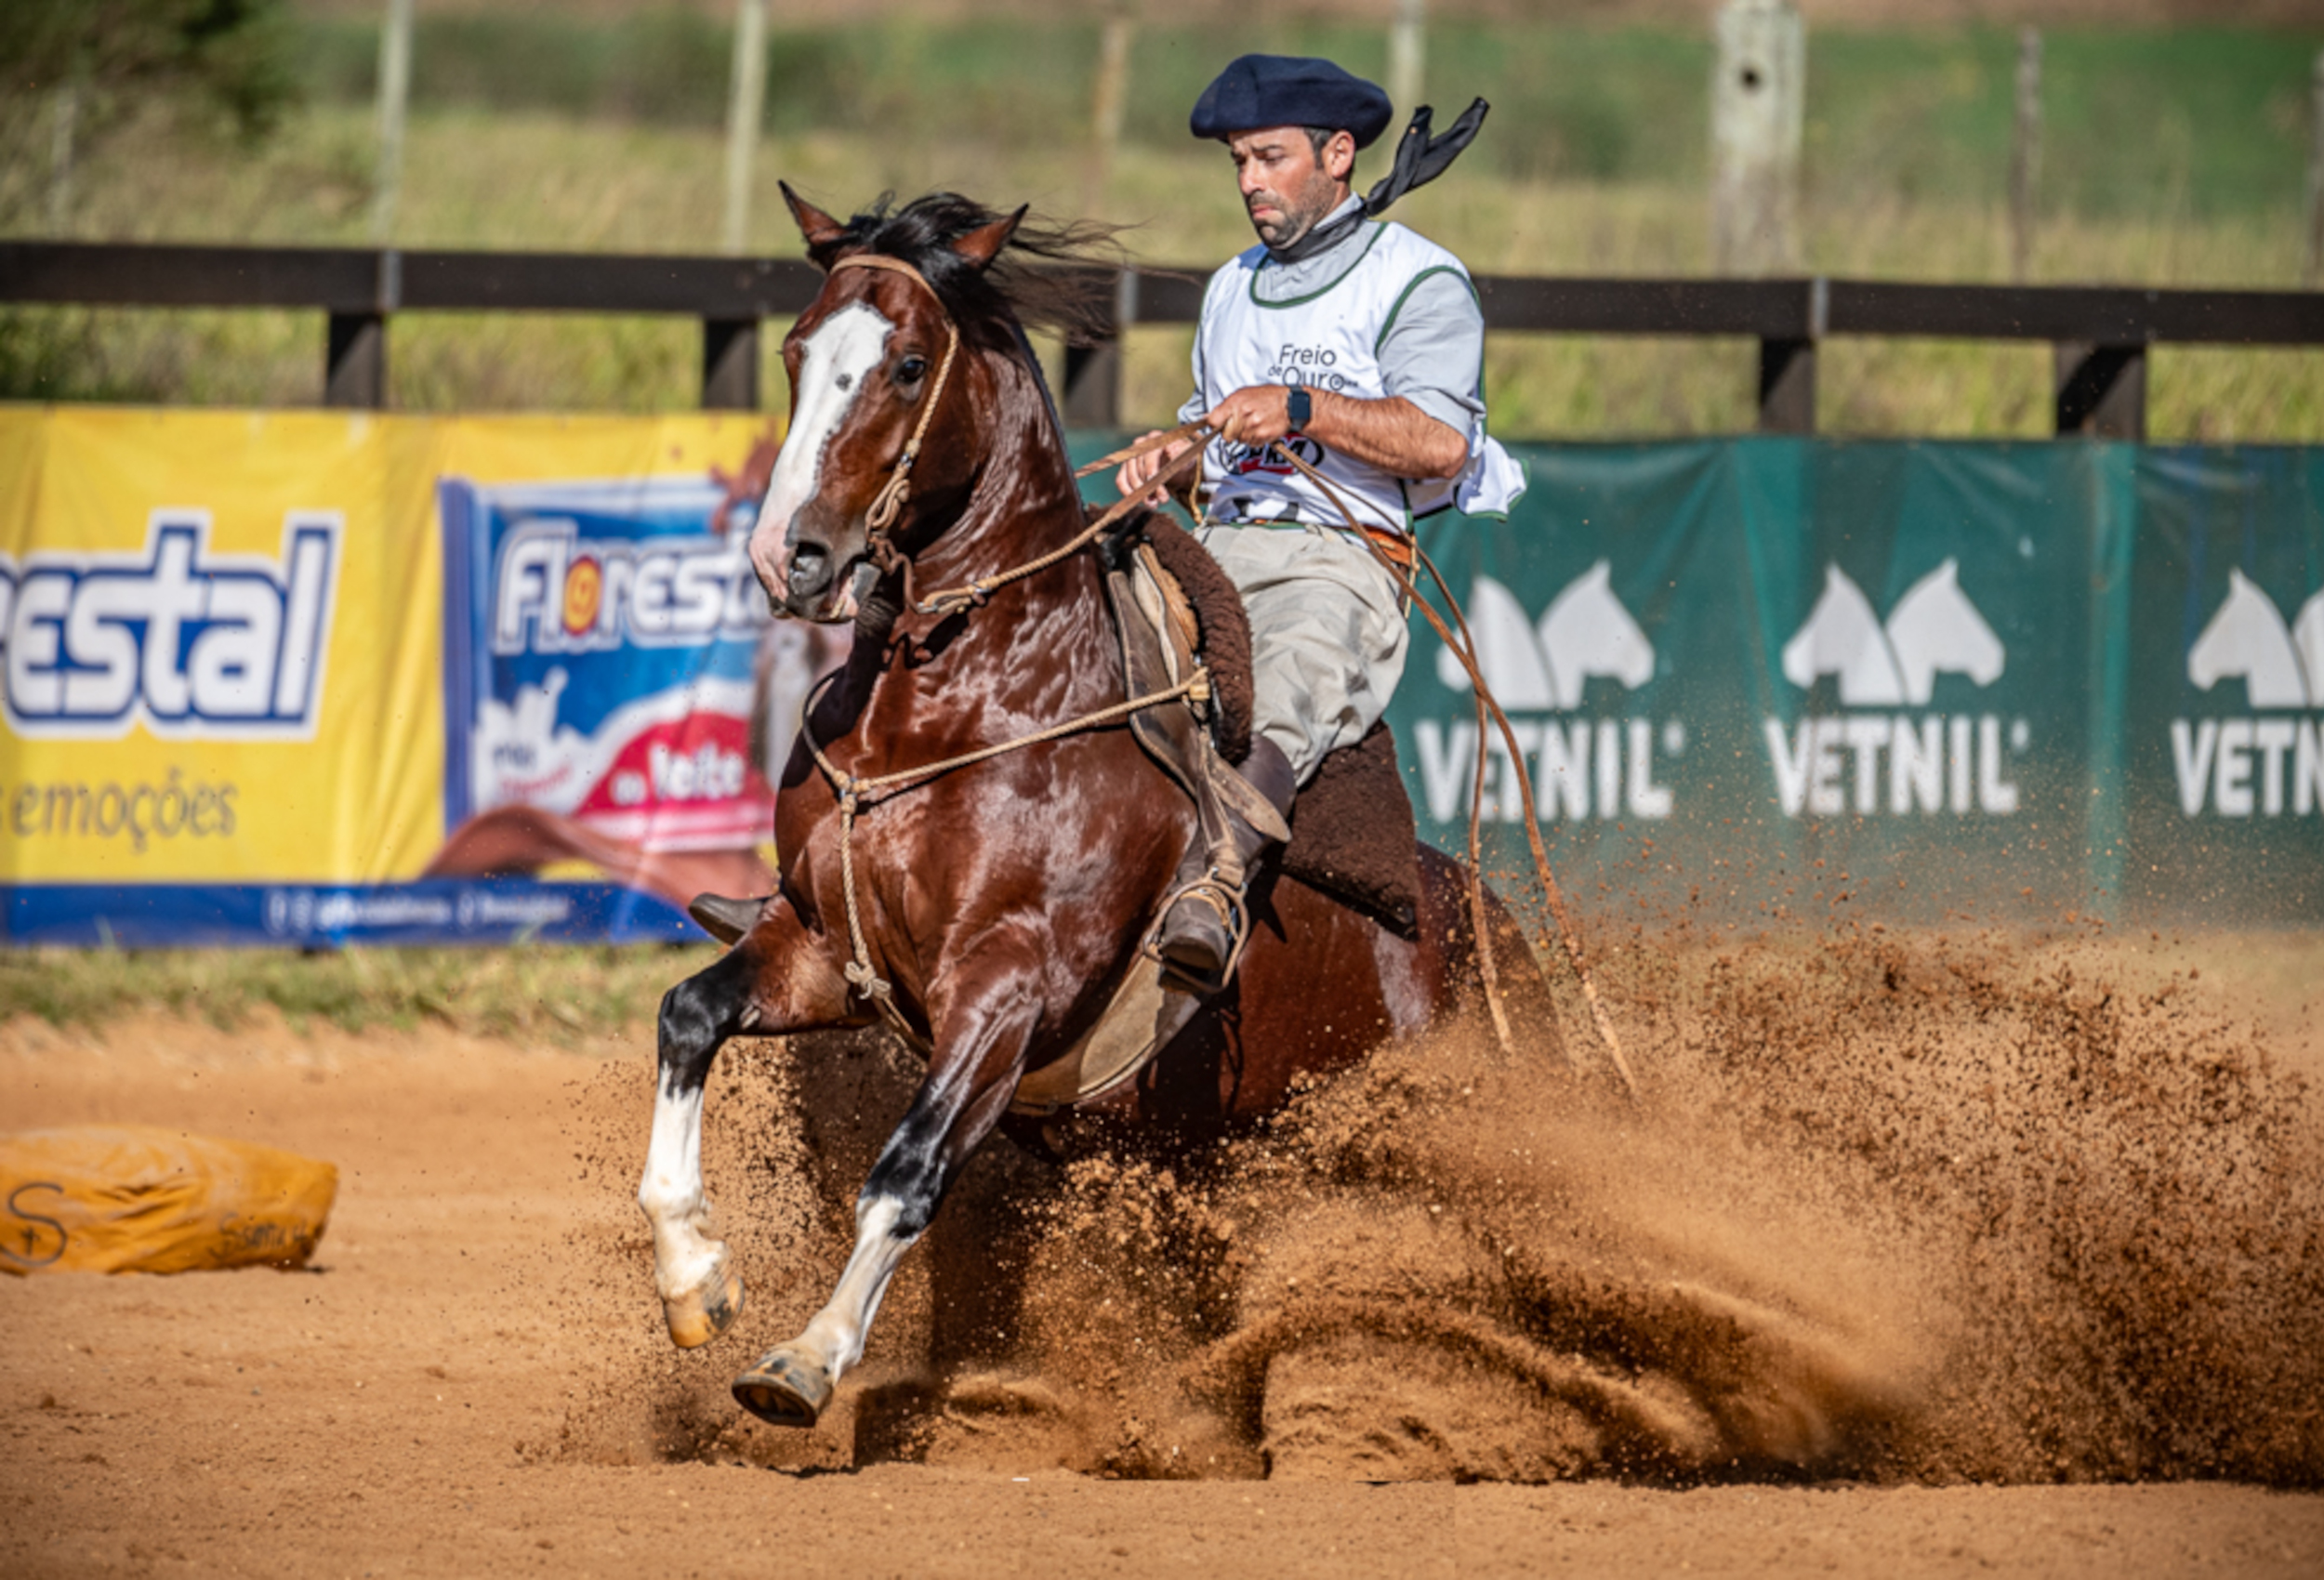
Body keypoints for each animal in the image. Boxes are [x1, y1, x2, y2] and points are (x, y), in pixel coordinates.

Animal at [637, 188, 1543, 1431]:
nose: (794, 557)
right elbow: (687, 1016)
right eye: (797, 350)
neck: (962, 708)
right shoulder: (822, 948)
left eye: (908, 363)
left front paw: (808, 1356)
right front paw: (695, 1278)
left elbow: (905, 1171)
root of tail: (1504, 947)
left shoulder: (1010, 987)